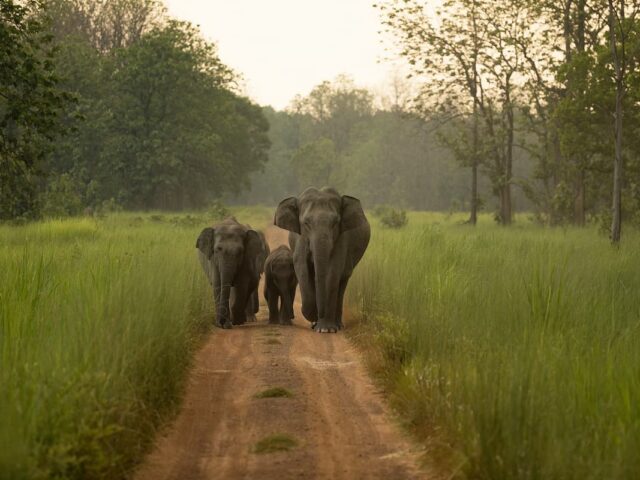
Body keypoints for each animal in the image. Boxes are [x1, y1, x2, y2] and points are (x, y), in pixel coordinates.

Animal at [275, 187, 370, 333]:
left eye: (335, 223)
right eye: (306, 223)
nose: (319, 314)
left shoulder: (341, 239)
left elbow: (332, 272)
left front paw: (326, 329)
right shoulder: (300, 238)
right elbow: (302, 268)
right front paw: (315, 319)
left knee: (342, 282)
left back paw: (338, 325)